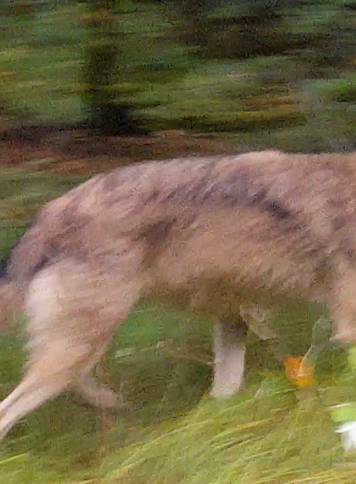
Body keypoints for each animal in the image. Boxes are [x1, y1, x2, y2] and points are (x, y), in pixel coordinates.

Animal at [0, 149, 354, 440]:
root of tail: (50, 212)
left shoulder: (232, 319)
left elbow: (223, 397)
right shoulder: (347, 326)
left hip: (78, 346)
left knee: (76, 386)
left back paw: (114, 406)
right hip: (78, 346)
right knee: (13, 408)